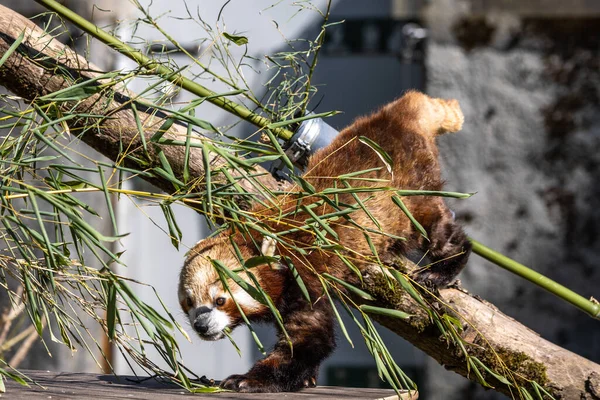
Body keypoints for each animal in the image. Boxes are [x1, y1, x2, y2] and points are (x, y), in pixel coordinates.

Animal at [180, 90, 472, 390]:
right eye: (188, 302)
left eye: (220, 300)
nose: (201, 325)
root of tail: (399, 113)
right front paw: (306, 378)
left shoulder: (304, 277)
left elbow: (309, 340)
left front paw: (249, 379)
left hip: (411, 191)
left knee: (438, 229)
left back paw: (442, 268)